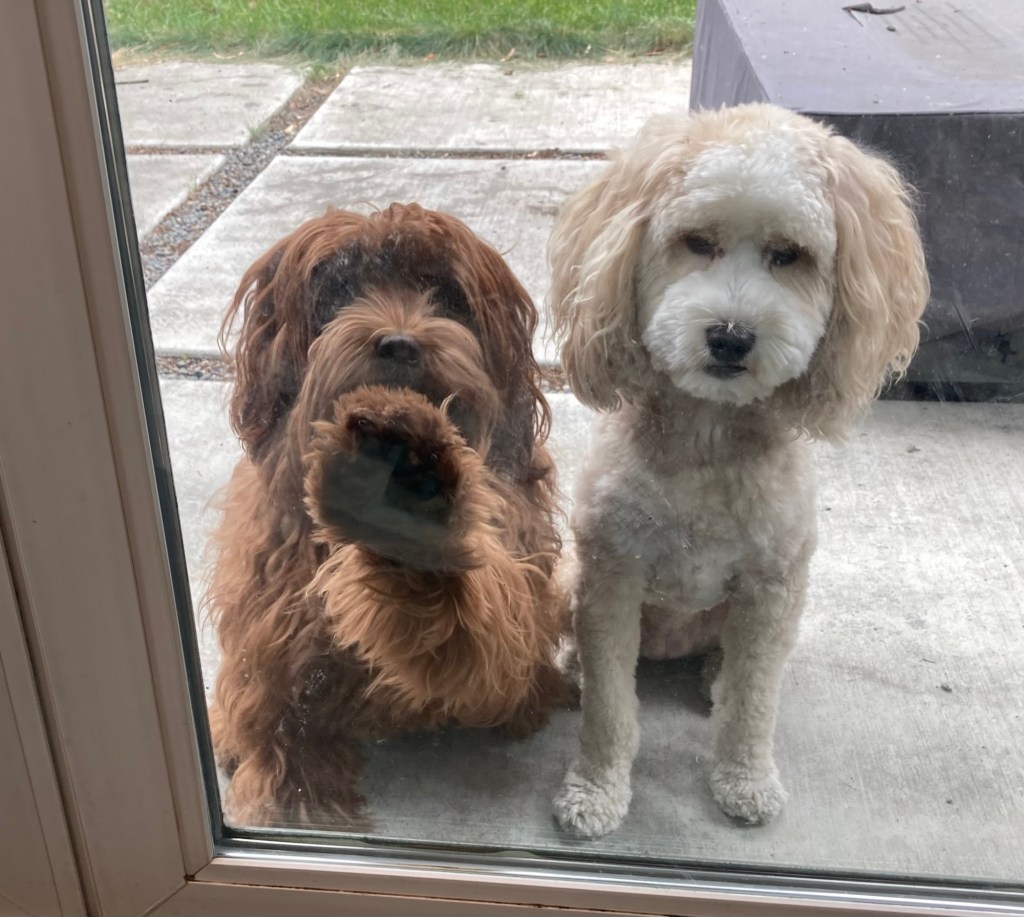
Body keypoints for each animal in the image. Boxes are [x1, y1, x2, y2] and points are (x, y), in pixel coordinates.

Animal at [207, 203, 568, 828]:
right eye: (341, 289)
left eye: (443, 293)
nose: (400, 344)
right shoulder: (274, 630)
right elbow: (282, 729)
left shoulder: (507, 617)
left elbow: (474, 643)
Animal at [547, 103, 929, 837]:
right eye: (696, 242)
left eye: (790, 255)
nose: (729, 336)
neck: (708, 440)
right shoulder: (610, 576)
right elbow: (610, 706)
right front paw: (596, 790)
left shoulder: (771, 585)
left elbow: (754, 703)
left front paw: (746, 781)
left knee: (742, 669)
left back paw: (714, 677)